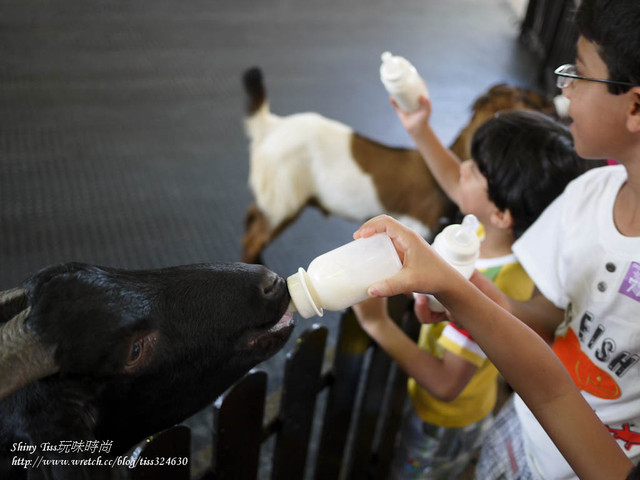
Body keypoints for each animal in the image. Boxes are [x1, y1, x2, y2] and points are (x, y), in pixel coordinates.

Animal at [240, 67, 556, 262]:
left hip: (273, 193)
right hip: (285, 197)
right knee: (256, 234)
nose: (553, 102)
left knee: (253, 216)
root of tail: (269, 126)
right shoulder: (417, 224)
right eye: (528, 99)